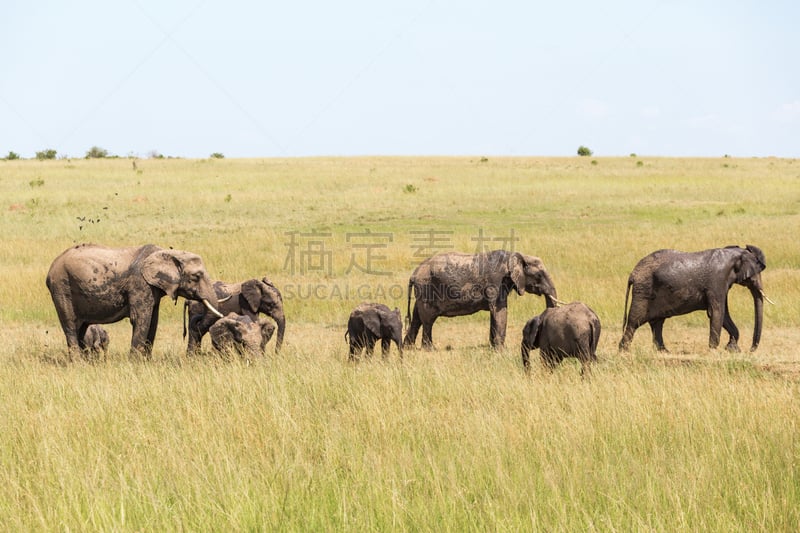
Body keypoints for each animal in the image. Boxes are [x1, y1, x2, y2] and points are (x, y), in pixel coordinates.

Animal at [45, 244, 223, 358]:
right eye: (196, 276)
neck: (167, 253)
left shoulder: (153, 289)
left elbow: (153, 321)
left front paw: (147, 362)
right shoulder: (140, 284)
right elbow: (141, 319)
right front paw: (135, 363)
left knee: (81, 328)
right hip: (62, 287)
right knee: (70, 325)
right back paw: (78, 363)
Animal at [404, 249, 560, 350]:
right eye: (539, 275)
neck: (514, 256)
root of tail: (413, 274)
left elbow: (494, 313)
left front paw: (492, 348)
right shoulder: (496, 283)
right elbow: (500, 311)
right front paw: (501, 351)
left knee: (417, 318)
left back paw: (408, 348)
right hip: (426, 289)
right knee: (428, 320)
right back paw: (429, 349)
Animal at [620, 245, 768, 354]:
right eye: (755, 274)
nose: (750, 350)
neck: (733, 253)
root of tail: (633, 273)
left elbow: (724, 314)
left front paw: (733, 350)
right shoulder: (717, 281)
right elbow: (716, 312)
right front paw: (713, 351)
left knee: (657, 323)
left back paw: (664, 352)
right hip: (643, 291)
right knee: (635, 322)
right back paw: (624, 351)